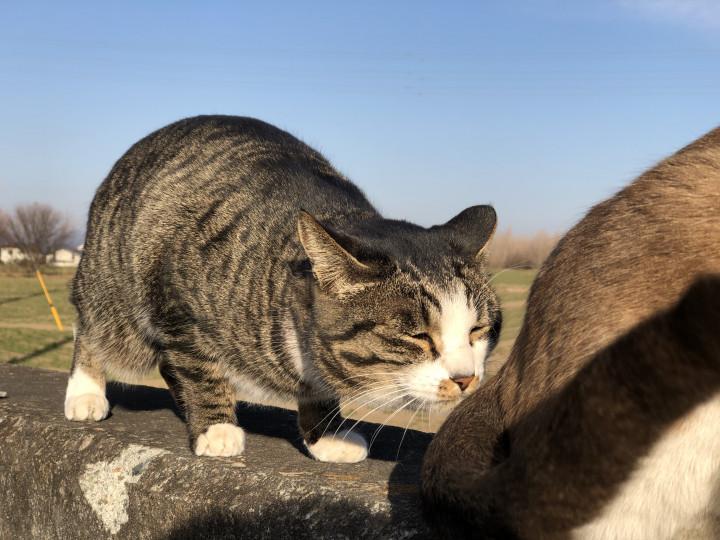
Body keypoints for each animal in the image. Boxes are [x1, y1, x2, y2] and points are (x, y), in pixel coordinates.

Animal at [63, 116, 500, 462]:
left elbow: (318, 391)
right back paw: (86, 392)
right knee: (93, 326)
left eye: (479, 330)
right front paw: (215, 428)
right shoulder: (176, 302)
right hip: (110, 283)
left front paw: (328, 436)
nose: (466, 379)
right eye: (418, 336)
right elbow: (200, 369)